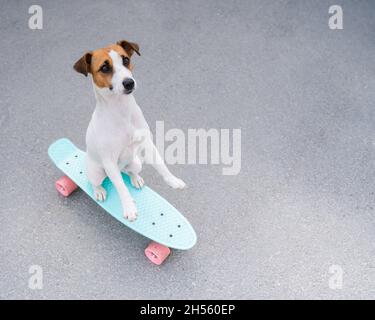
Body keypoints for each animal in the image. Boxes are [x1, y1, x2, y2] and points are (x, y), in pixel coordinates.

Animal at [73, 39, 187, 220]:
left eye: (125, 60)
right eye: (104, 68)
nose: (129, 82)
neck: (122, 111)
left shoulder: (148, 144)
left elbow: (161, 164)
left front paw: (173, 180)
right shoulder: (109, 161)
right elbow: (121, 188)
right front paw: (129, 207)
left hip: (135, 162)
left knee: (129, 172)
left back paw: (135, 178)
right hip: (97, 171)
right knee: (97, 182)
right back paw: (99, 190)